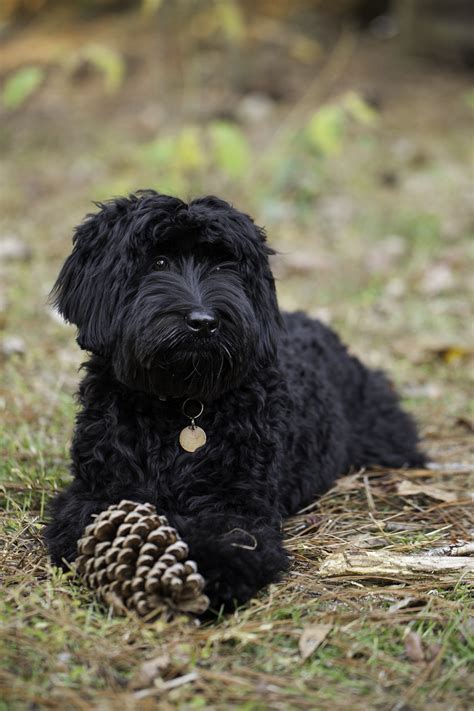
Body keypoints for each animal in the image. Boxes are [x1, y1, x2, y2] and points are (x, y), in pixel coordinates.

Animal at [43, 192, 422, 608]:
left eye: (225, 265)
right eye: (158, 262)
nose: (203, 322)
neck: (180, 405)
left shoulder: (237, 503)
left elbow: (232, 536)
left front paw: (210, 570)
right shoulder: (97, 490)